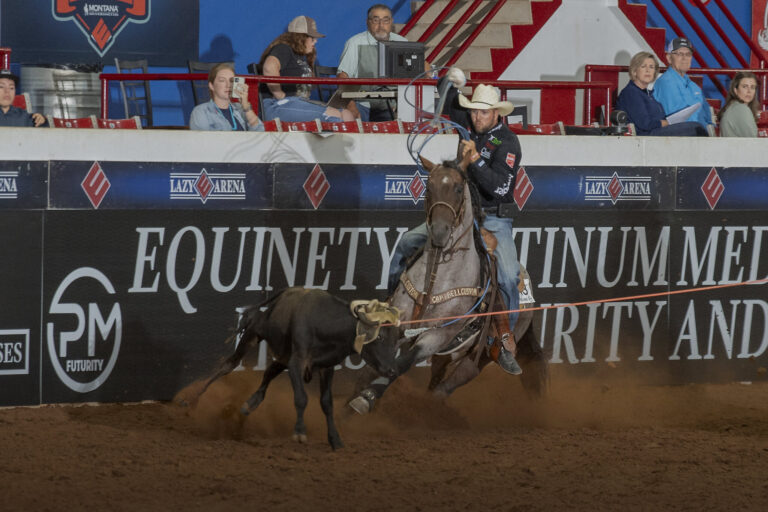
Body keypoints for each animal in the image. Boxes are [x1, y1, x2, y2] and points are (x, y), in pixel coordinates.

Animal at [348, 151, 544, 412]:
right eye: (429, 187)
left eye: (459, 189)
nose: (440, 232)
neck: (436, 281)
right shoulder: (400, 322)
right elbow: (383, 359)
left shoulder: (437, 335)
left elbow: (401, 365)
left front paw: (366, 397)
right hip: (447, 354)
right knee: (436, 379)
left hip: (478, 357)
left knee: (447, 387)